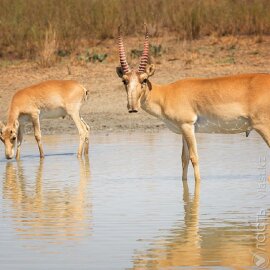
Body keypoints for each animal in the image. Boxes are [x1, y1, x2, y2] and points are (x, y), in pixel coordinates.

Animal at [117, 25, 270, 181]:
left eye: (144, 79)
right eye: (124, 80)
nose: (132, 107)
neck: (166, 94)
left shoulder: (187, 126)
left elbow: (194, 157)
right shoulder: (183, 130)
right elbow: (183, 159)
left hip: (264, 127)